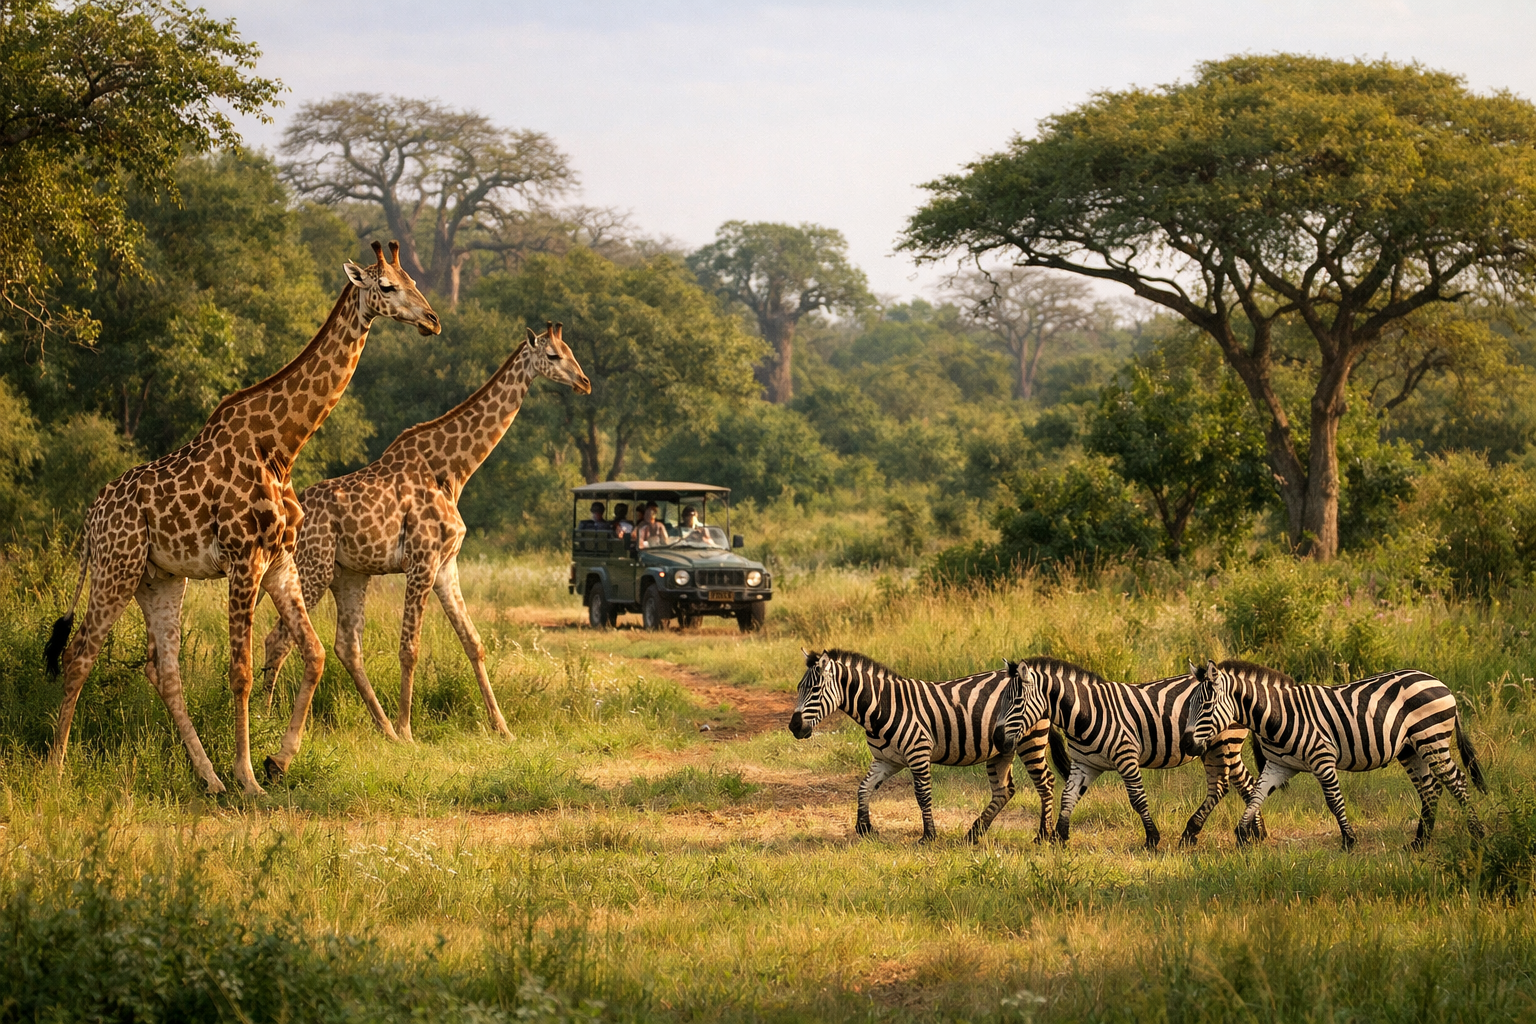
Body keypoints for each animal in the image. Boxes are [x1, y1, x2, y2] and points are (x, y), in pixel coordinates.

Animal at [43, 241, 440, 796]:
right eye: (386, 285)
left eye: (412, 280)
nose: (432, 320)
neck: (281, 446)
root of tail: (91, 517)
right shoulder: (243, 560)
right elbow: (242, 672)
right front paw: (249, 777)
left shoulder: (280, 562)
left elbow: (314, 654)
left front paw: (278, 761)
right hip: (115, 568)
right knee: (80, 653)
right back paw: (58, 767)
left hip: (159, 580)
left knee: (163, 670)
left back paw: (208, 779)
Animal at [261, 322, 590, 741]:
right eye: (553, 355)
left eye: (572, 351)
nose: (584, 382)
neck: (453, 471)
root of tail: (289, 519)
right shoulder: (421, 562)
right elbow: (410, 648)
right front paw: (408, 731)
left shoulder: (446, 566)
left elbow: (474, 642)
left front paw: (502, 728)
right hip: (312, 568)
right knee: (280, 638)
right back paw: (268, 720)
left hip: (348, 575)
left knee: (346, 646)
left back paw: (382, 727)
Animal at [787, 649, 1054, 843]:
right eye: (799, 688)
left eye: (815, 690)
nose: (793, 727)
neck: (882, 706)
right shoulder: (886, 761)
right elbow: (863, 788)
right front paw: (864, 828)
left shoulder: (918, 753)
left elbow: (923, 795)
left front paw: (928, 836)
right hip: (1002, 749)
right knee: (1004, 791)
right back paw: (974, 834)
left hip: (1031, 740)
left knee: (1046, 782)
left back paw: (1045, 835)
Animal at [1005, 657, 1266, 850]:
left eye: (1016, 703)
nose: (1003, 740)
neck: (1086, 711)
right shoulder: (1084, 764)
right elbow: (1068, 796)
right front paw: (1059, 837)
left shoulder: (1126, 756)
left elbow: (1137, 799)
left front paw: (1152, 839)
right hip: (1217, 747)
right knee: (1245, 783)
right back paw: (1255, 834)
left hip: (1224, 742)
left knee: (1229, 786)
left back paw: (1203, 833)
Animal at [1180, 659, 1487, 850]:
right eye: (1191, 704)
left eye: (1206, 705)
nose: (1185, 745)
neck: (1276, 715)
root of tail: (1438, 681)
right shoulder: (1278, 765)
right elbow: (1256, 796)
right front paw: (1243, 835)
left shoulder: (1322, 758)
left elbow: (1334, 801)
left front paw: (1349, 840)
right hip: (1412, 749)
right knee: (1431, 788)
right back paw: (1420, 843)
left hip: (1431, 739)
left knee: (1456, 782)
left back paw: (1478, 834)